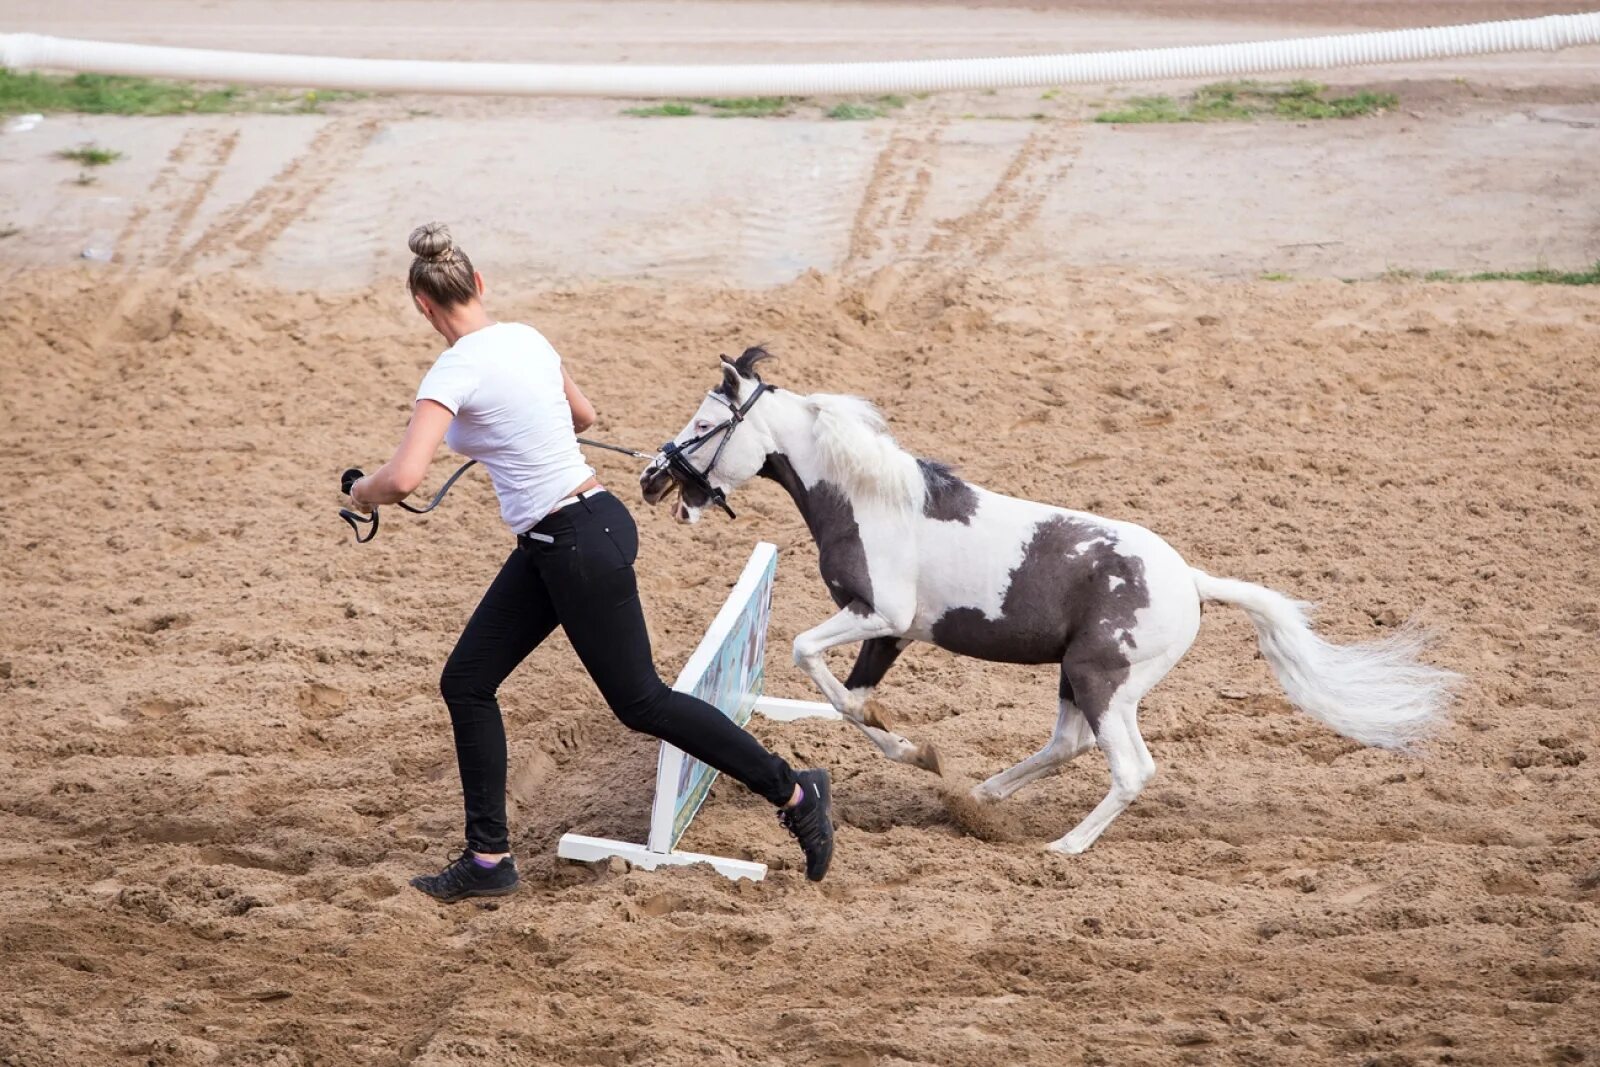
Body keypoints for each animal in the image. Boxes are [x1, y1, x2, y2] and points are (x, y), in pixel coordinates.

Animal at [640, 355, 1465, 857]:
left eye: (705, 424)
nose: (652, 478)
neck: (874, 502)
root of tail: (1191, 581)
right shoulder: (895, 635)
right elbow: (853, 701)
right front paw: (920, 753)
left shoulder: (881, 616)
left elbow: (809, 656)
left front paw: (915, 751)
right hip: (1074, 674)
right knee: (1067, 745)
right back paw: (981, 796)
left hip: (1106, 682)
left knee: (1129, 767)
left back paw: (1064, 845)